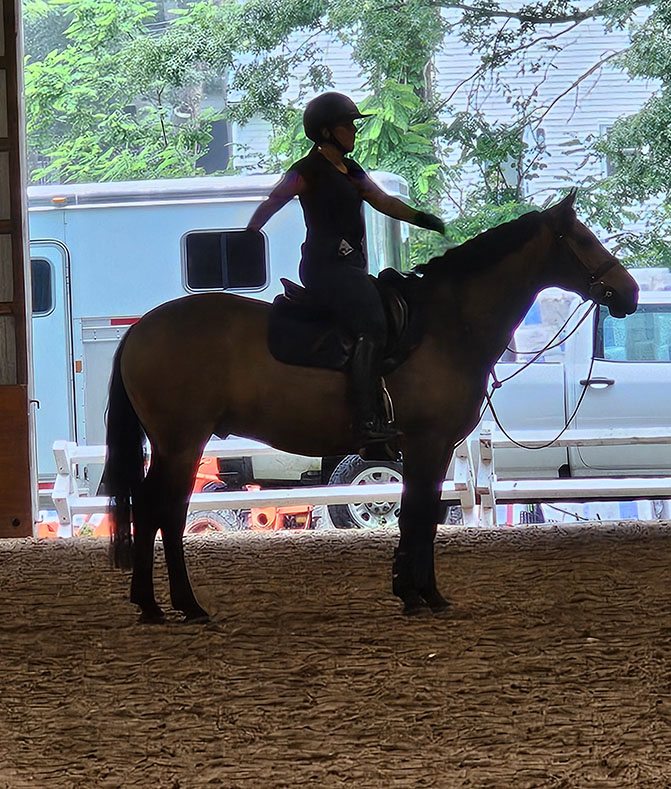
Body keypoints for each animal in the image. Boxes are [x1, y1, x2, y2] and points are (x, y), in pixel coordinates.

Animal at [103, 192, 638, 623]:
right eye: (582, 239)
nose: (629, 292)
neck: (447, 324)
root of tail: (142, 330)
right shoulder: (427, 444)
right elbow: (417, 515)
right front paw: (419, 594)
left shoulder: (430, 449)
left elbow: (419, 516)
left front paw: (417, 591)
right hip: (182, 443)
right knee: (166, 512)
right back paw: (180, 605)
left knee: (153, 509)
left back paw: (155, 605)